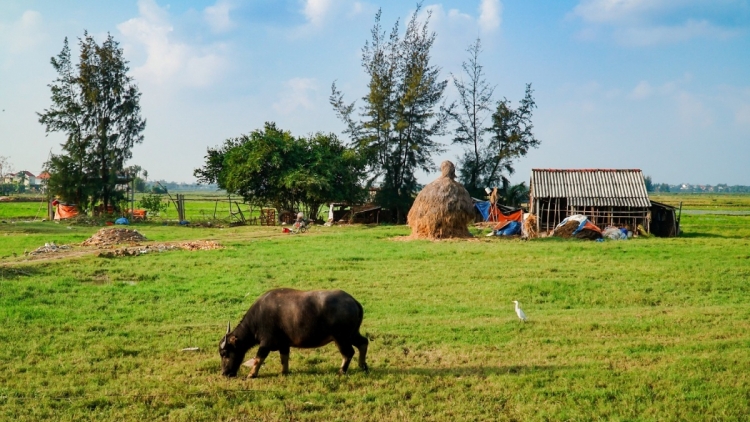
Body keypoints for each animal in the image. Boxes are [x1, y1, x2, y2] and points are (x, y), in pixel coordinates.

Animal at [217, 288, 370, 378]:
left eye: (224, 353)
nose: (225, 373)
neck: (258, 317)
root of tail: (353, 301)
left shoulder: (265, 343)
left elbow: (258, 358)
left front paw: (251, 374)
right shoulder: (284, 344)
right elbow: (284, 358)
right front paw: (284, 372)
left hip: (341, 338)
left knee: (348, 353)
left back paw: (341, 371)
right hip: (352, 334)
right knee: (363, 343)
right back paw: (362, 366)